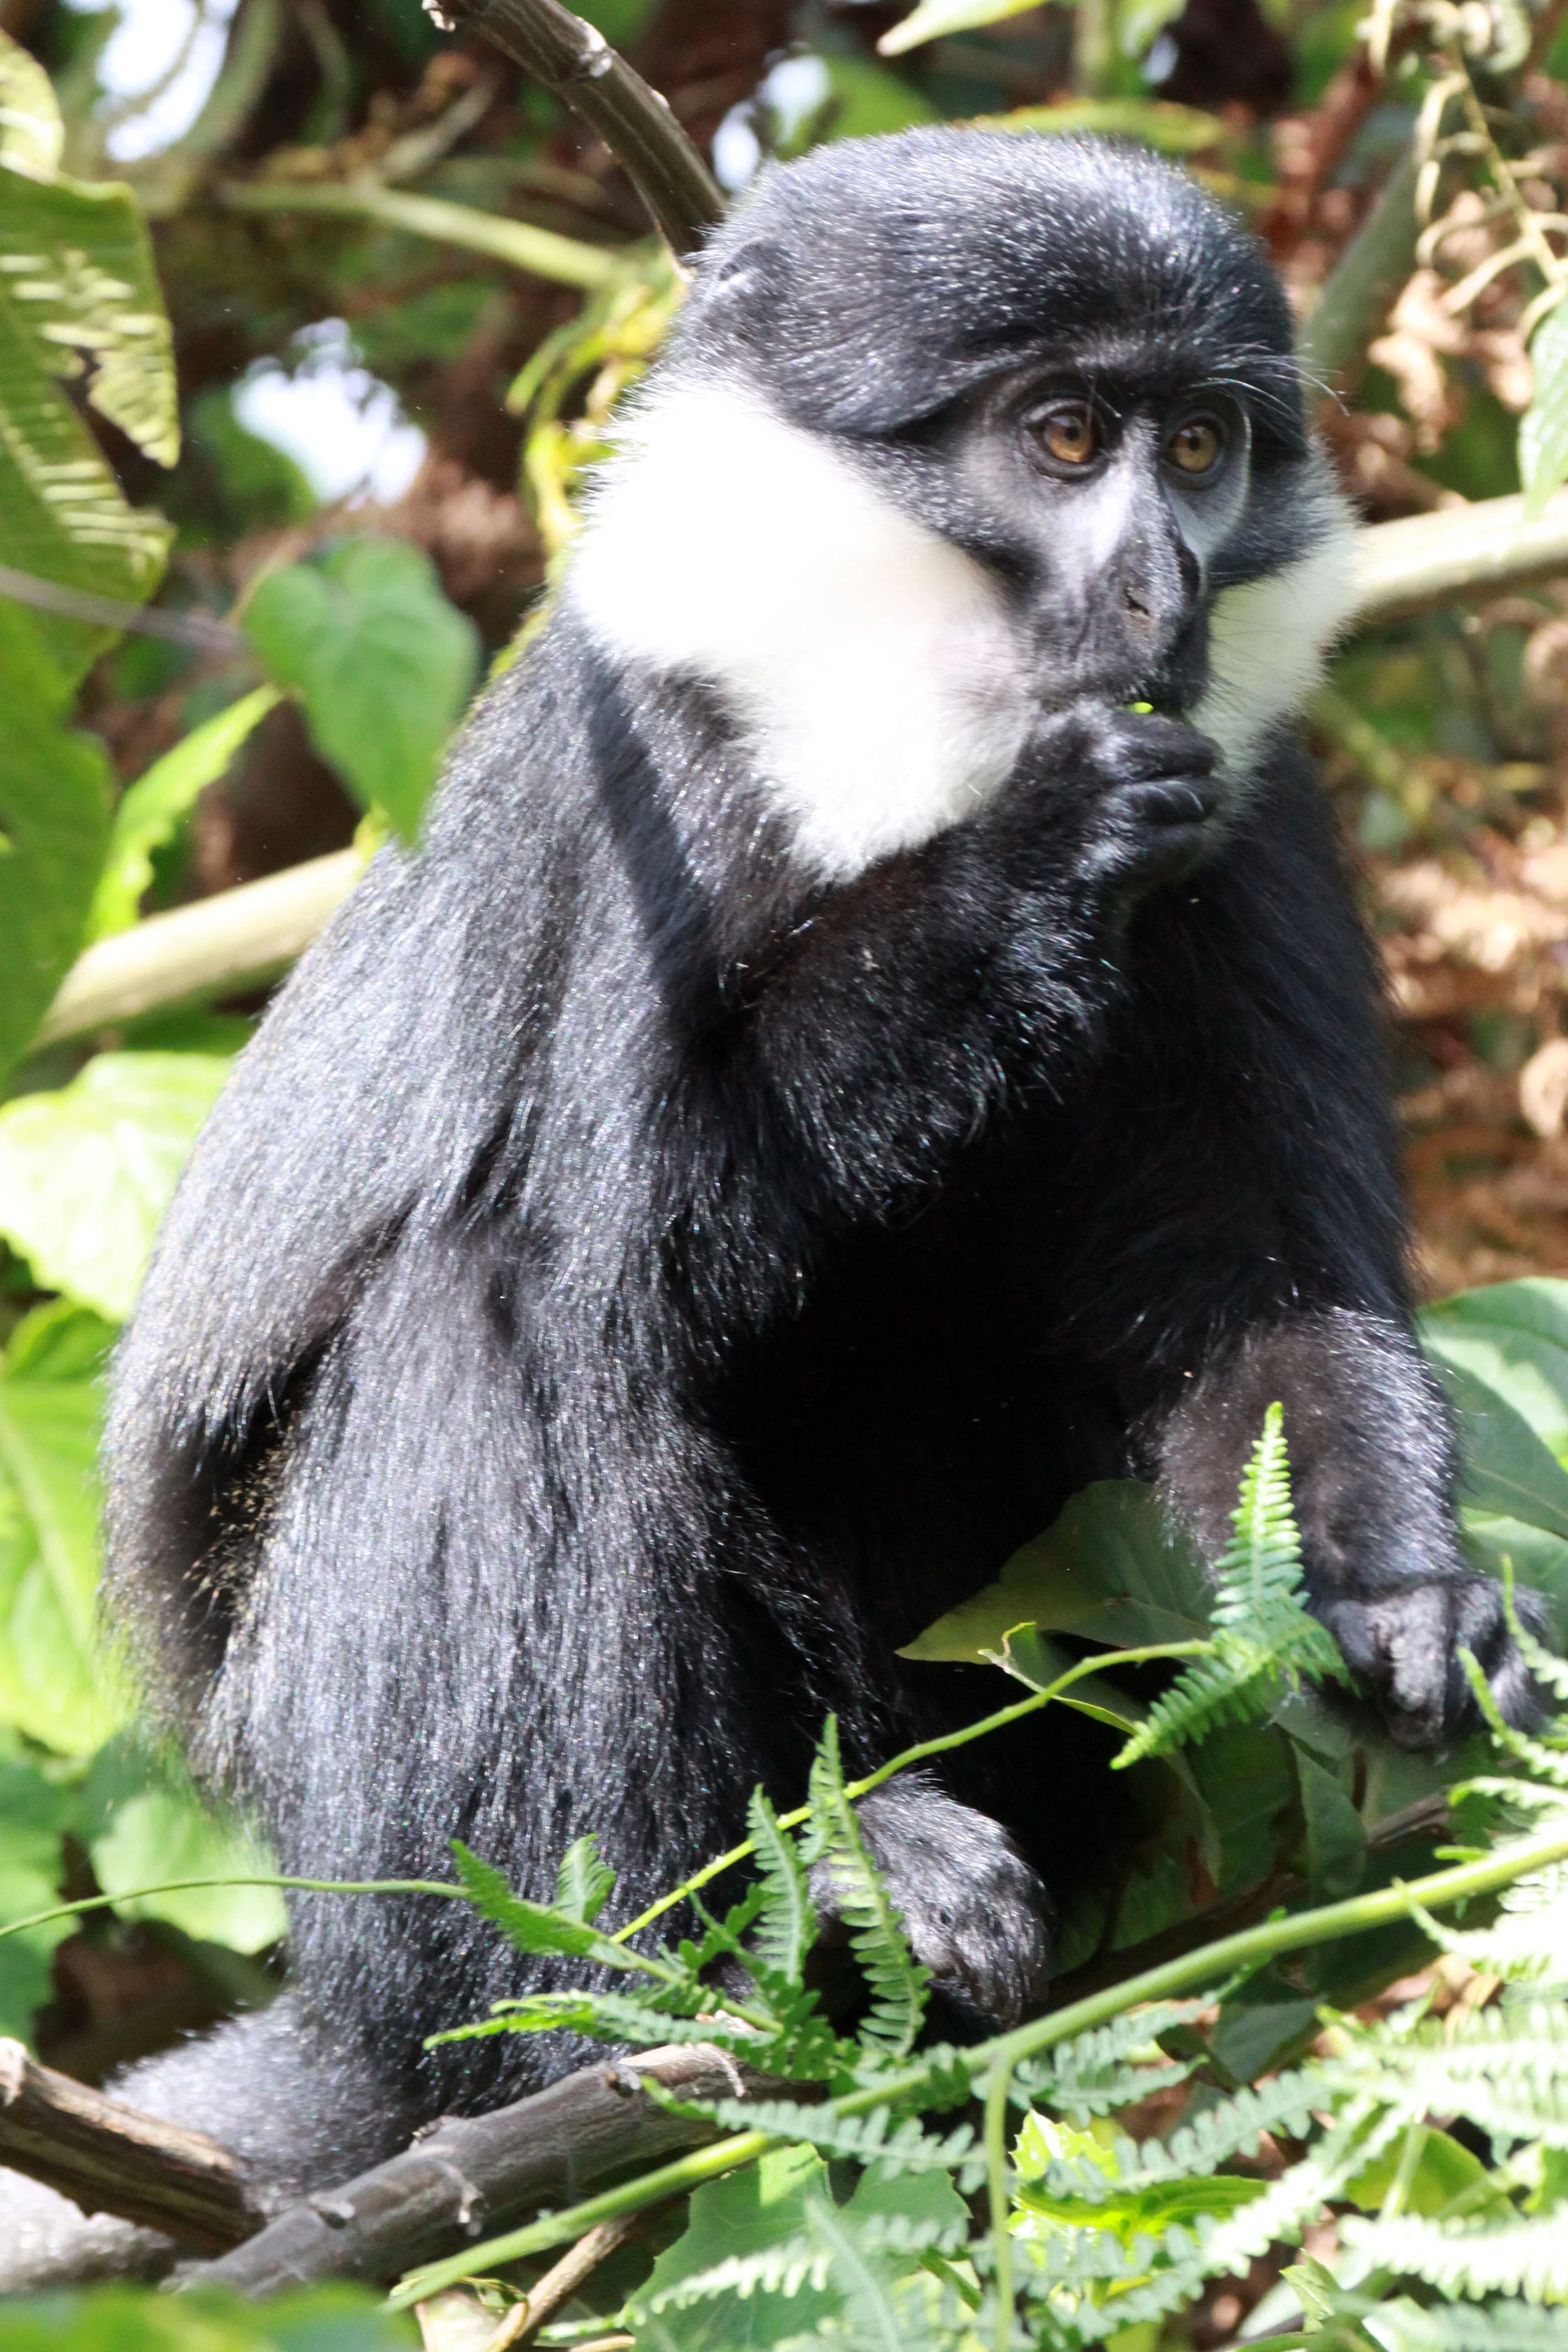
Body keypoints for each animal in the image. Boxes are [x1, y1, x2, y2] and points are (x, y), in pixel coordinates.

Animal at [0, 126, 1547, 2286]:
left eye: (1200, 443)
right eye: (1062, 438)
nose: (1158, 576)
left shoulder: (1245, 818)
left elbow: (1257, 1294)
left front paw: (1401, 1596)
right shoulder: (643, 785)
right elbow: (607, 1241)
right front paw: (1013, 871)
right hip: (378, 1817)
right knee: (478, 1310)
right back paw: (737, 1912)